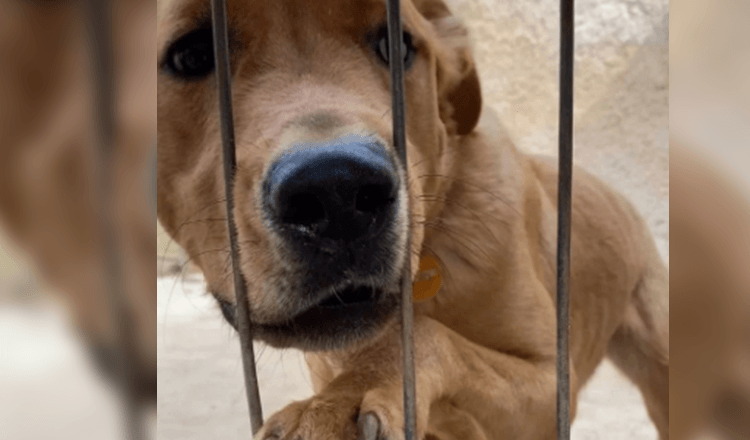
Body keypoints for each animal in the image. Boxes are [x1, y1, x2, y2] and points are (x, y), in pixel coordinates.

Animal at [157, 1, 668, 438]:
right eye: (193, 55)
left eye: (396, 45)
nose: (337, 190)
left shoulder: (549, 383)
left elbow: (427, 336)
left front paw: (335, 406)